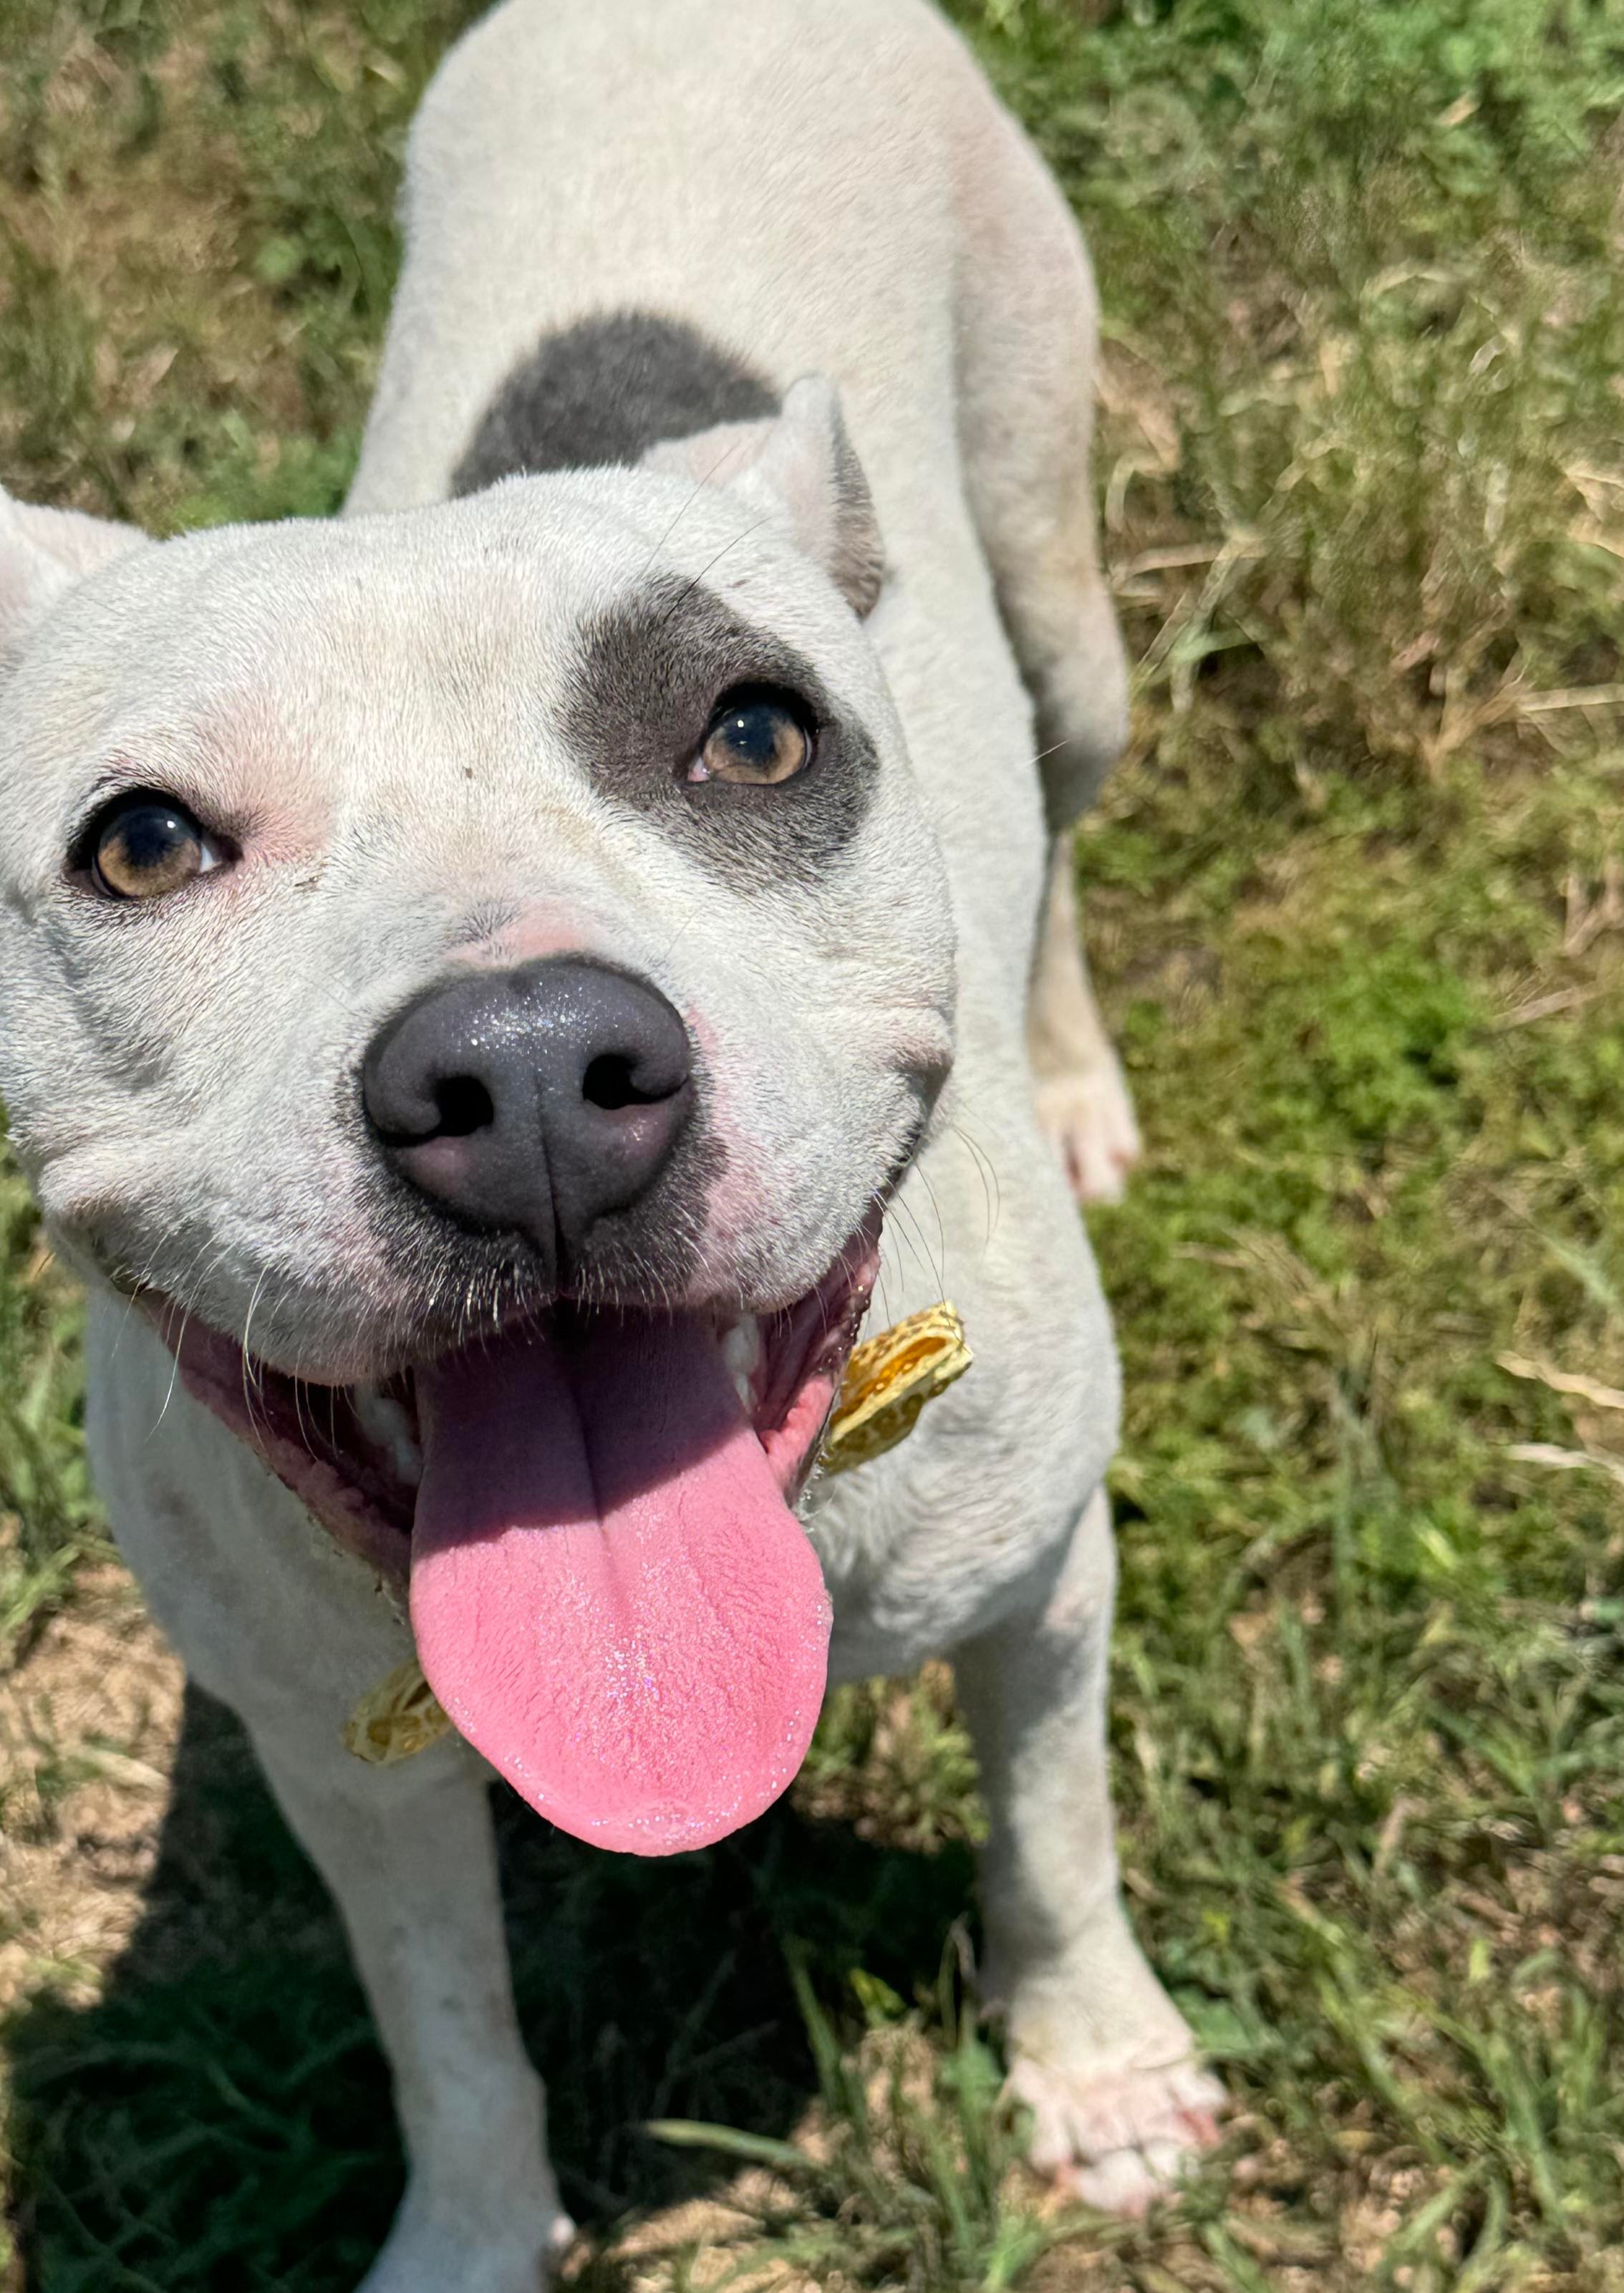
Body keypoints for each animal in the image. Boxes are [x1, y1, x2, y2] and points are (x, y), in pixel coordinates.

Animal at [0, 9, 1220, 2284]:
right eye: (139, 842)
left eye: (753, 733)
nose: (532, 1076)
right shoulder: (344, 1764)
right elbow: (449, 2033)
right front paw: (475, 2234)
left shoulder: (1044, 1582)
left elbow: (1053, 1833)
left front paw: (1096, 2069)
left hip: (1058, 568)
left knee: (1064, 807)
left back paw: (1073, 1069)